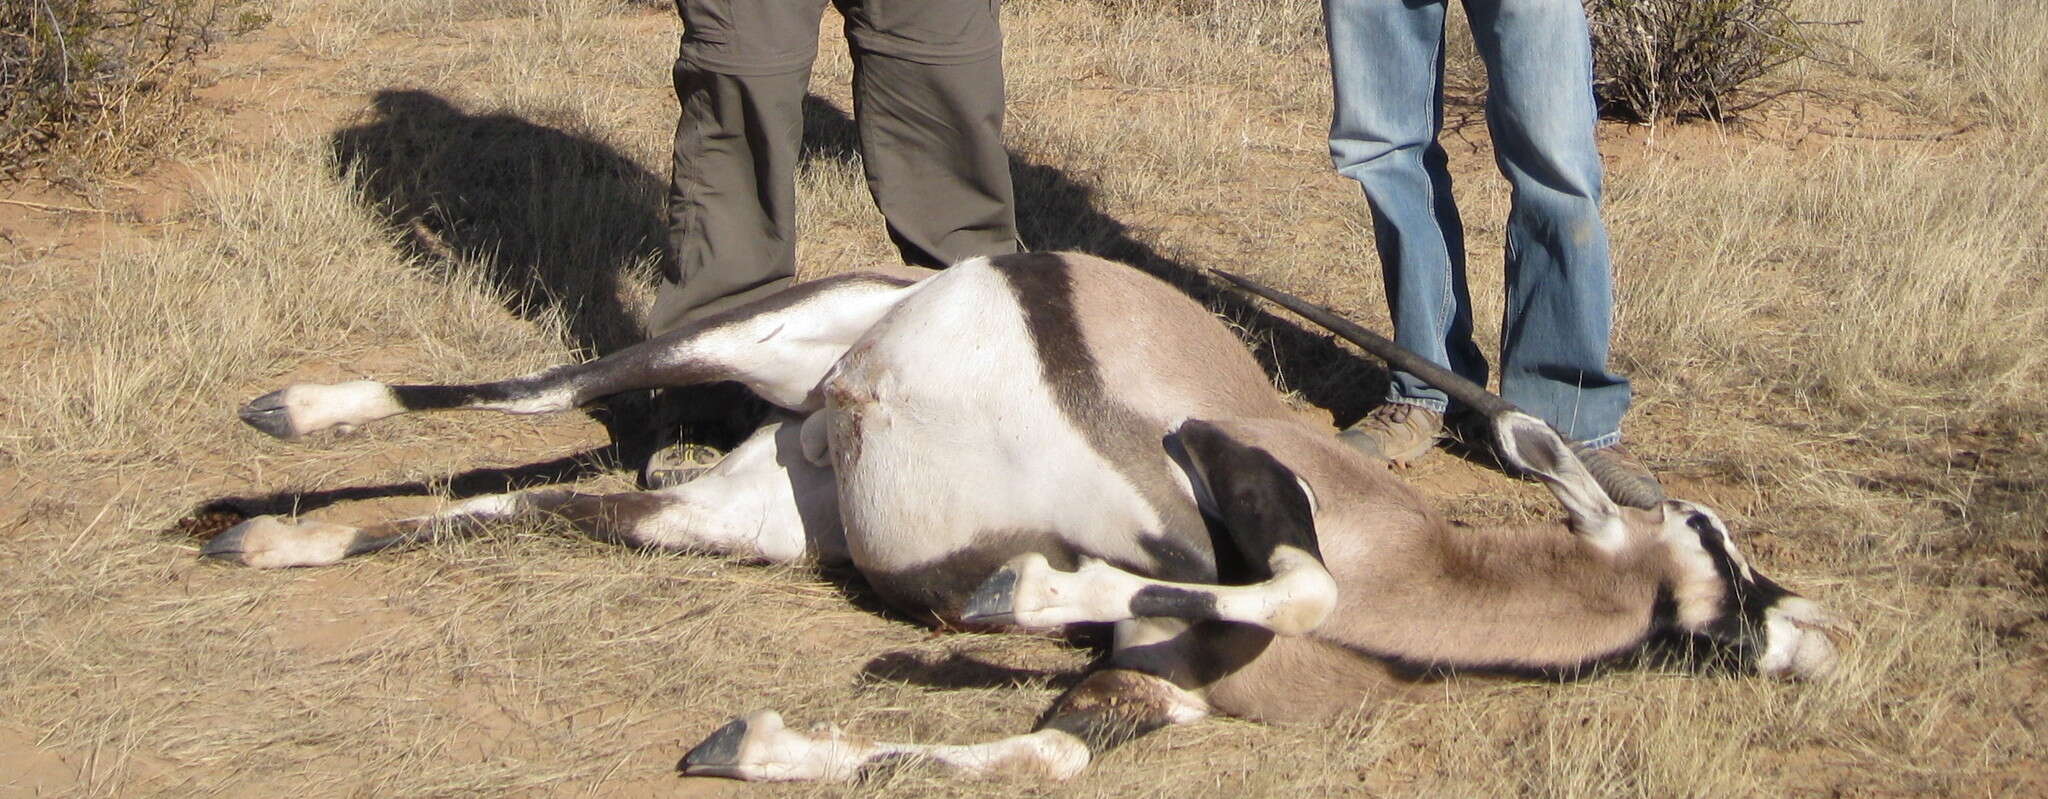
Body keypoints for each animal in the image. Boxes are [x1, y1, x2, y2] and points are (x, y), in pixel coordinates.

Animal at [203, 254, 1843, 778]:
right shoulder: (1226, 453)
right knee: (540, 388)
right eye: (1718, 538)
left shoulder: (1158, 691)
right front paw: (1016, 590)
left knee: (520, 500)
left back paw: (276, 537)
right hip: (740, 344)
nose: (1813, 636)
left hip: (754, 507)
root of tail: (840, 397)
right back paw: (283, 424)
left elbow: (1039, 753)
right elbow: (1291, 577)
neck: (1420, 576)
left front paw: (755, 740)